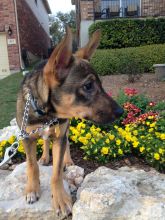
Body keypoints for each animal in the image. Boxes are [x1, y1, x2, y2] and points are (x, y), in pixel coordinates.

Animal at [16, 27, 123, 217]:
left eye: (101, 84)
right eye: (88, 86)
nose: (121, 112)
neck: (46, 112)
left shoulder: (60, 135)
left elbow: (57, 172)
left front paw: (59, 199)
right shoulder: (26, 137)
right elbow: (31, 165)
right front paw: (32, 189)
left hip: (64, 129)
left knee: (64, 143)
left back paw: (67, 160)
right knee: (45, 141)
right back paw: (44, 156)